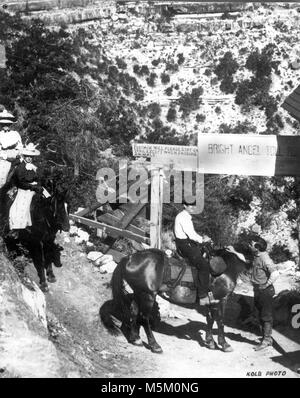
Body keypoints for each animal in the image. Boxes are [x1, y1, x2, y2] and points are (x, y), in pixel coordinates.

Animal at [101, 246, 248, 354]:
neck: (226, 269)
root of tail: (129, 257)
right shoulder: (221, 299)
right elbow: (220, 321)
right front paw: (224, 344)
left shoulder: (211, 302)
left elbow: (210, 319)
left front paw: (210, 341)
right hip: (148, 295)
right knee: (144, 318)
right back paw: (155, 345)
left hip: (139, 293)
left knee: (134, 312)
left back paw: (135, 338)